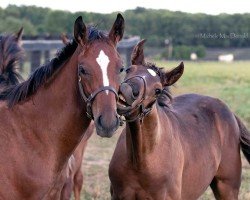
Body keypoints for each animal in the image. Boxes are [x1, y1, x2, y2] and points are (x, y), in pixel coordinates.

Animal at [109, 39, 250, 199]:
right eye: (128, 70)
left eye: (158, 90)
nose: (127, 92)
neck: (140, 160)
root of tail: (230, 112)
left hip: (227, 187)